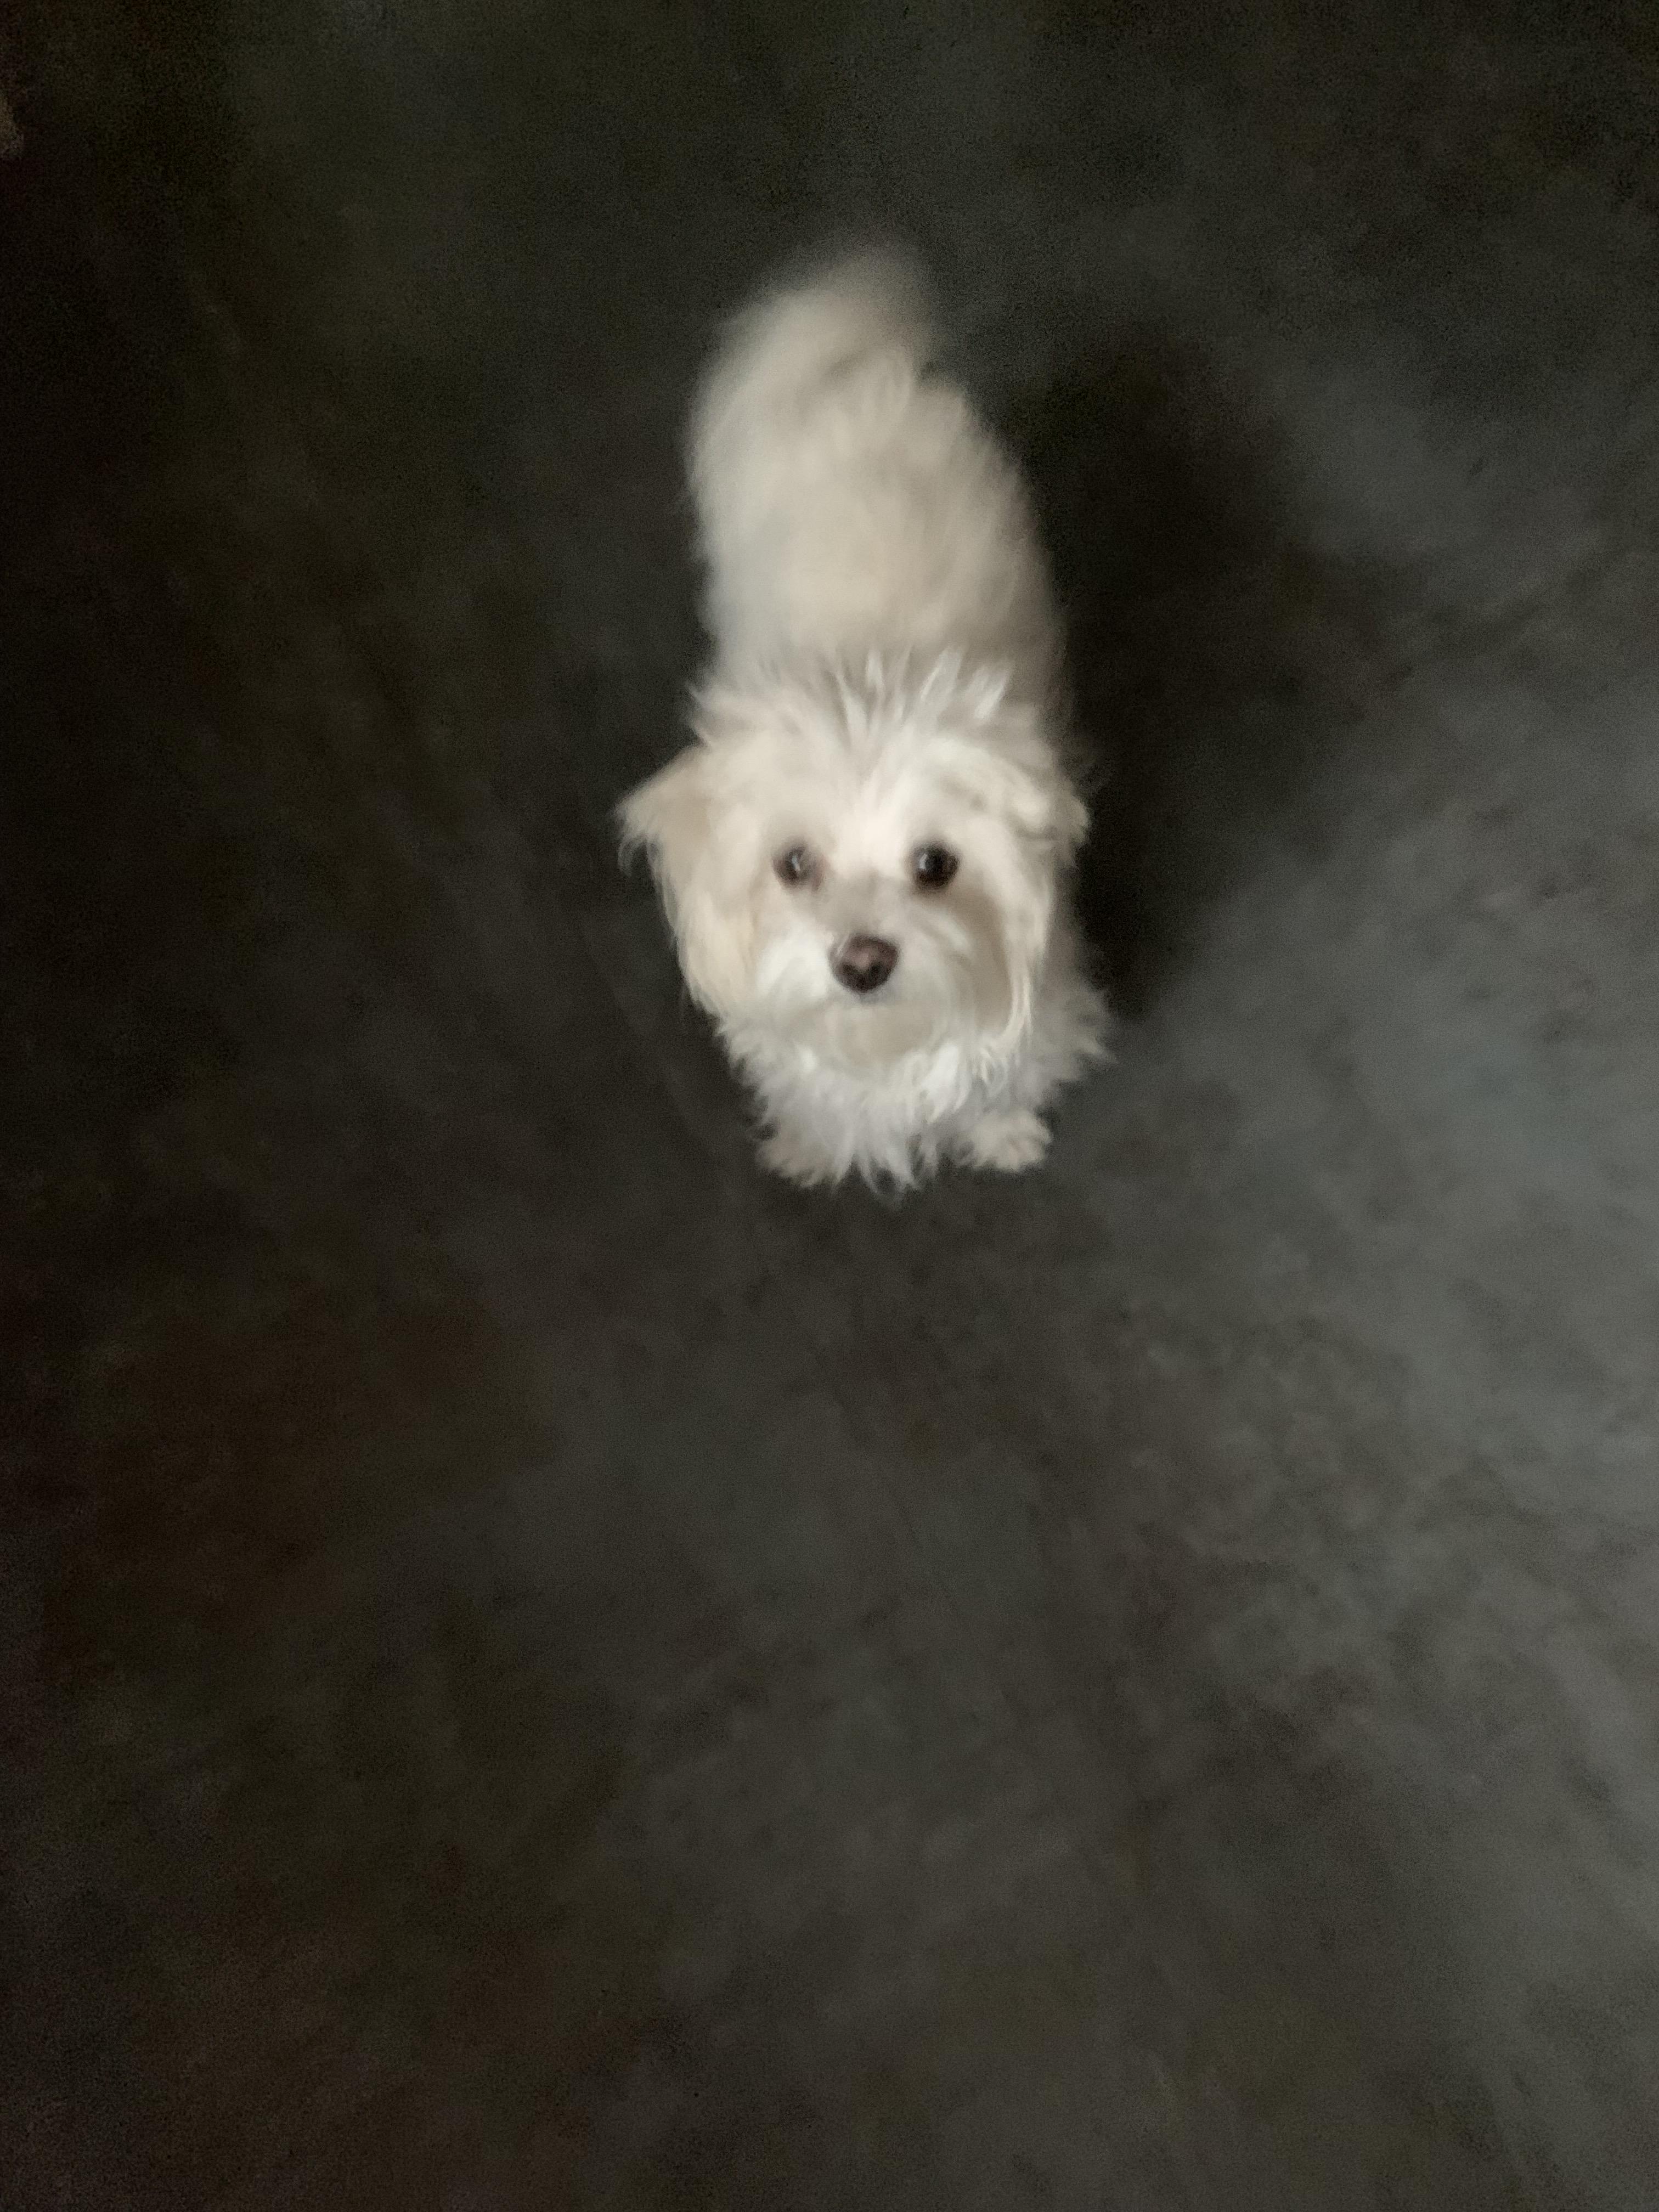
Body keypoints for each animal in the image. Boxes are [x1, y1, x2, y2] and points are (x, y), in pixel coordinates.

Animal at [619, 250, 1109, 1188]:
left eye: (936, 863)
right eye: (794, 864)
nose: (863, 962)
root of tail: (852, 378)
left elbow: (1001, 1077)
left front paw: (1002, 1133)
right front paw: (811, 1142)